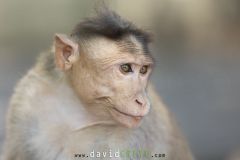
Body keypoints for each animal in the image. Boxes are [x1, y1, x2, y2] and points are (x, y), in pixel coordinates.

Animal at [0, 9, 193, 160]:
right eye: (125, 68)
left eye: (143, 70)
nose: (143, 102)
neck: (77, 110)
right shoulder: (26, 101)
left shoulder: (132, 139)